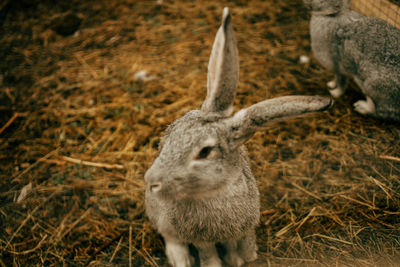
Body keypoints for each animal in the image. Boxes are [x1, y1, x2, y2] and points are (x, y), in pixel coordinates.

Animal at [145, 6, 332, 267]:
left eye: (205, 152)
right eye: (167, 141)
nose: (151, 182)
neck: (213, 193)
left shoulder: (241, 230)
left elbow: (237, 248)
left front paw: (243, 259)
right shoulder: (201, 239)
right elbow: (208, 254)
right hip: (160, 215)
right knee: (170, 237)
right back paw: (180, 259)